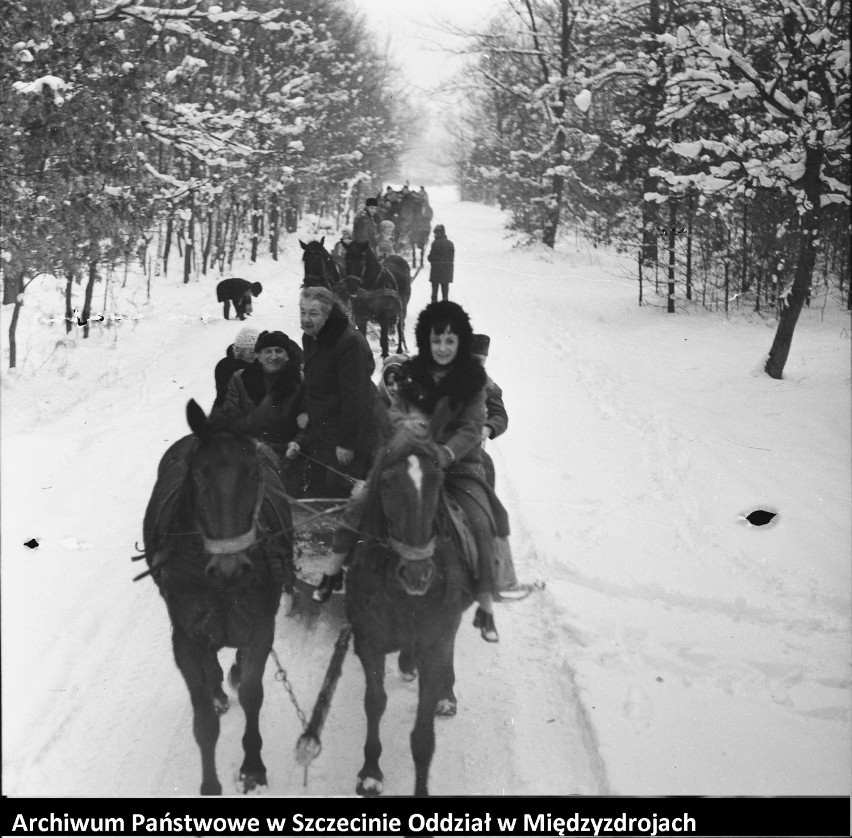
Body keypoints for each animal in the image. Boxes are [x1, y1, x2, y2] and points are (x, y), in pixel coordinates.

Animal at [141, 404, 294, 796]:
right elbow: (204, 720)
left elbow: (253, 693)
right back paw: (217, 689)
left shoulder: (259, 628)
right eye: (199, 475)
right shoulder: (186, 637)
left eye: (254, 473)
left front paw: (253, 767)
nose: (230, 568)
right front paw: (210, 783)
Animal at [344, 406, 476, 800]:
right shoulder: (368, 642)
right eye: (386, 483)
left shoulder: (434, 643)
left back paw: (446, 695)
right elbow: (375, 703)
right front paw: (370, 773)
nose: (418, 574)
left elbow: (422, 735)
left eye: (438, 481)